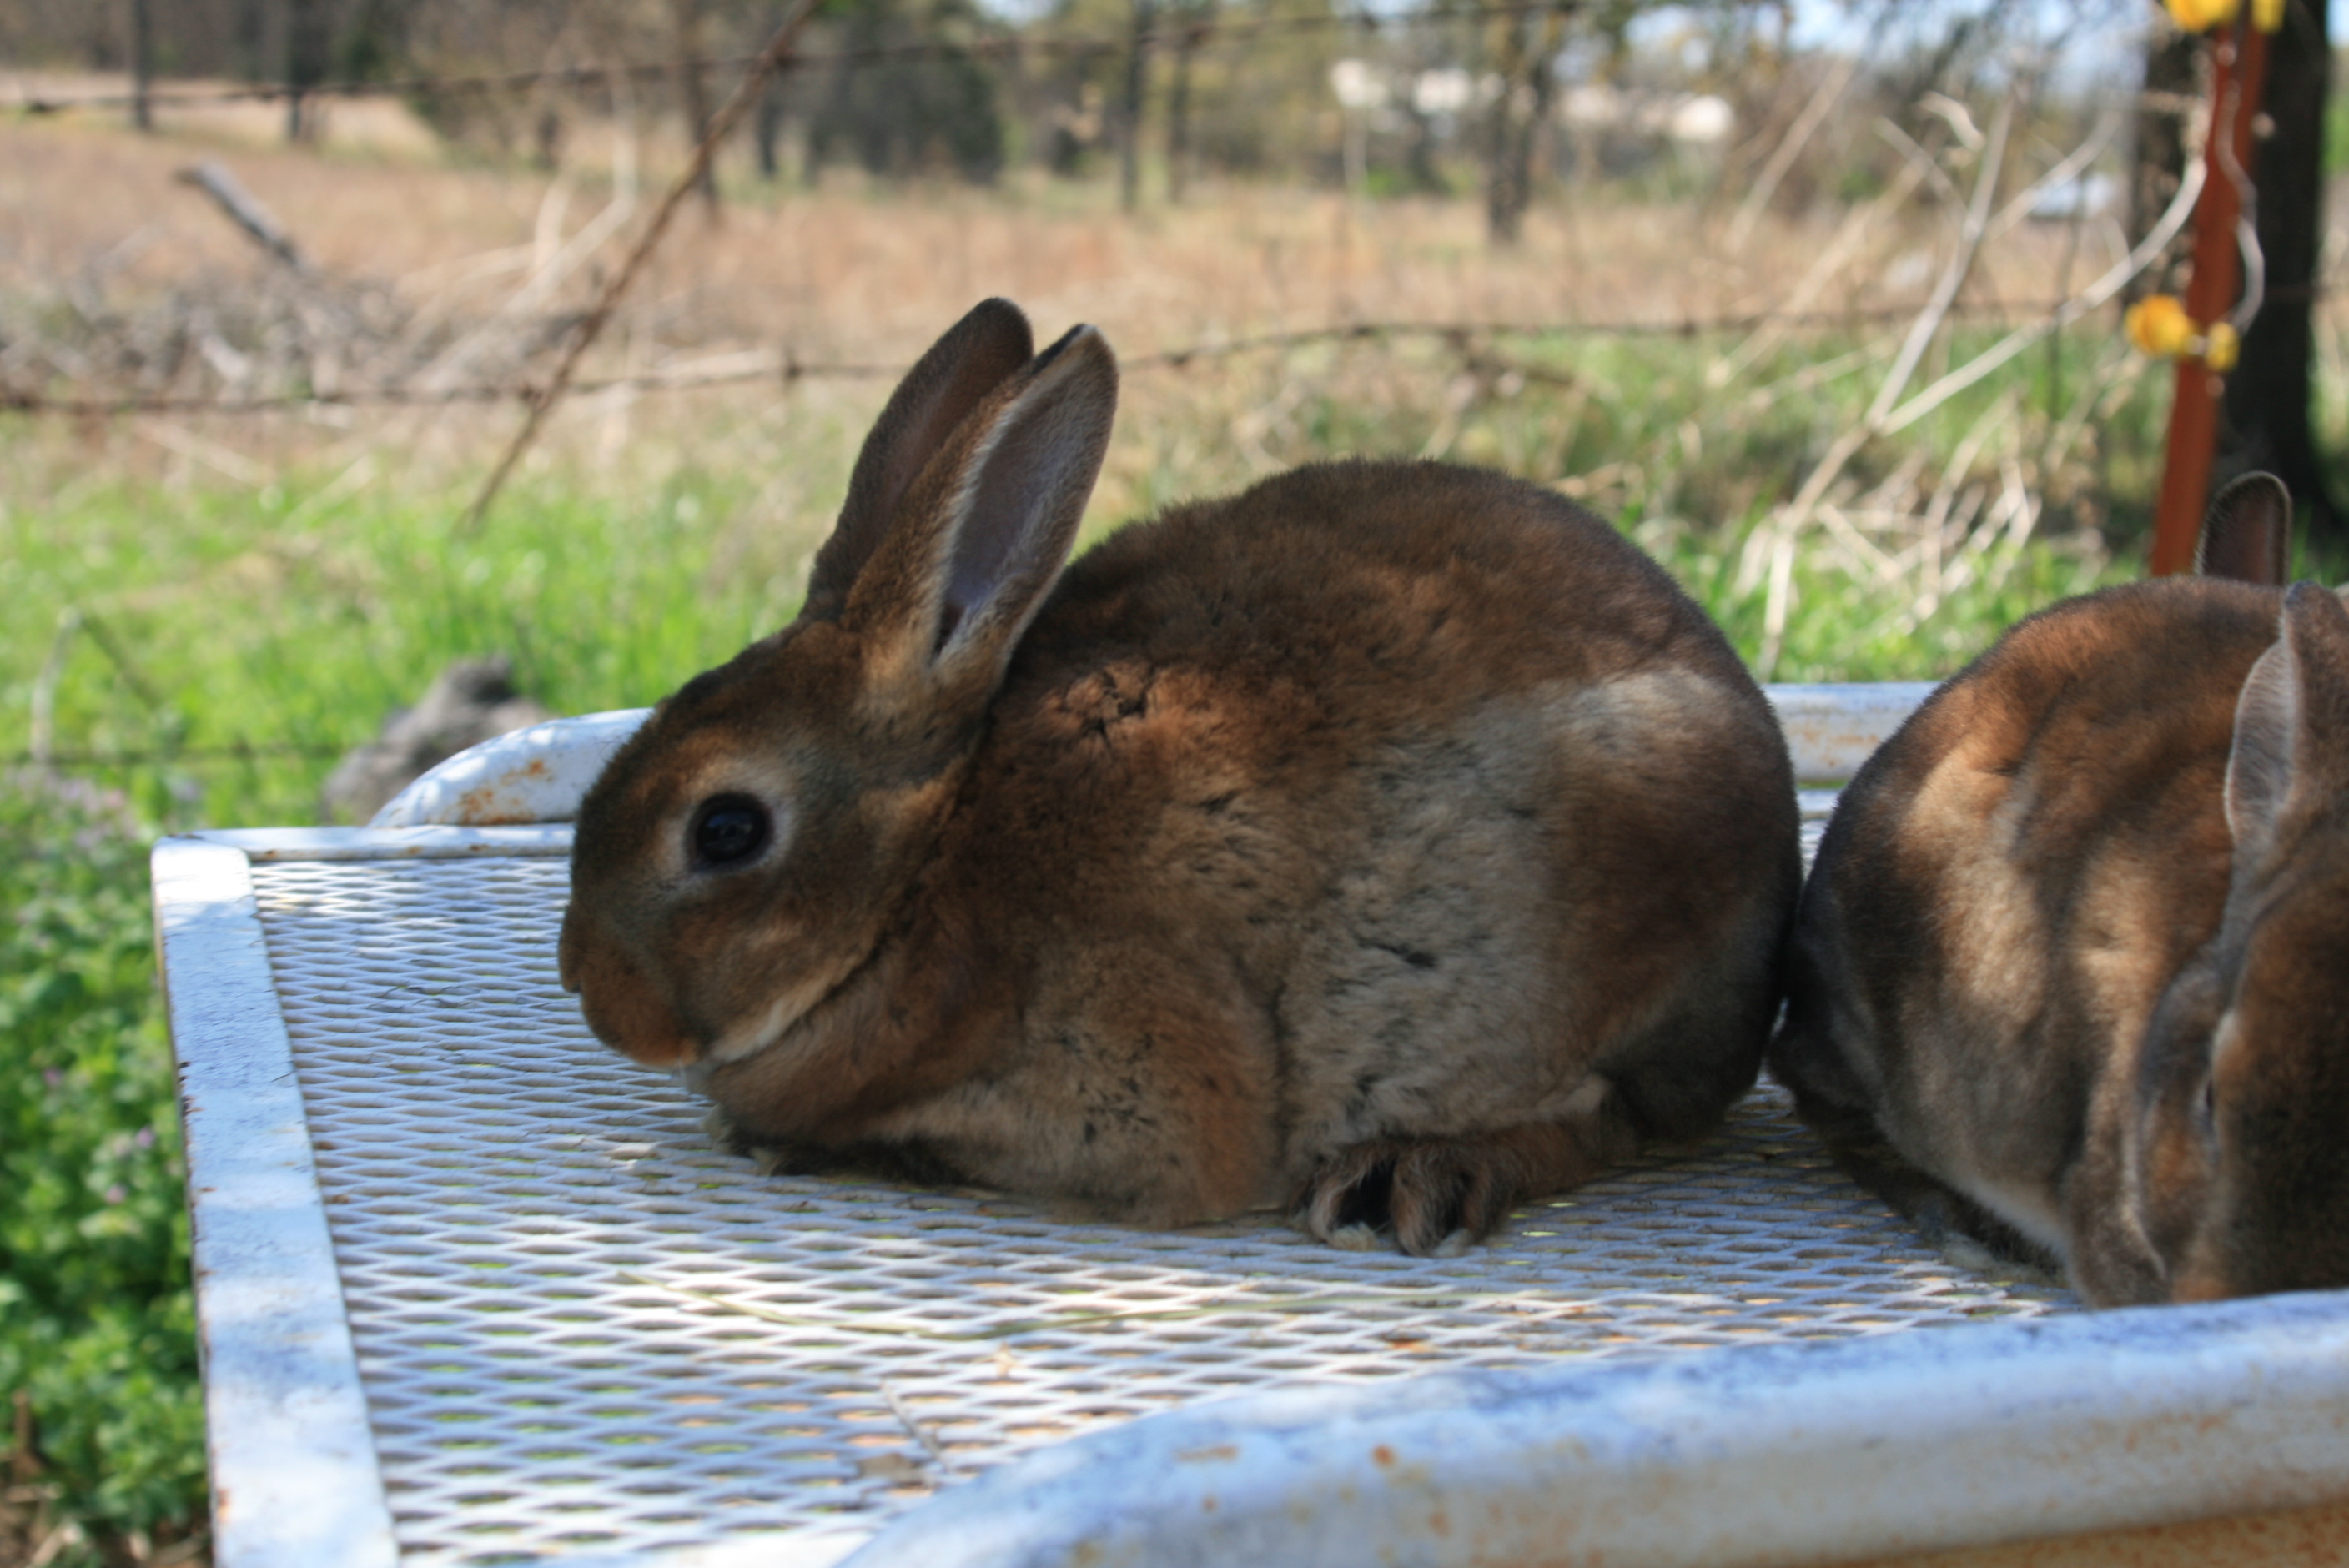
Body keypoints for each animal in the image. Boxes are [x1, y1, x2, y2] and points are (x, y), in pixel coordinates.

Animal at [559, 297, 1801, 1256]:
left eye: (725, 829)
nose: (592, 991)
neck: (928, 860)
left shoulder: (1142, 1090)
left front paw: (793, 1142)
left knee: (1611, 1118)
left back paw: (1414, 1172)